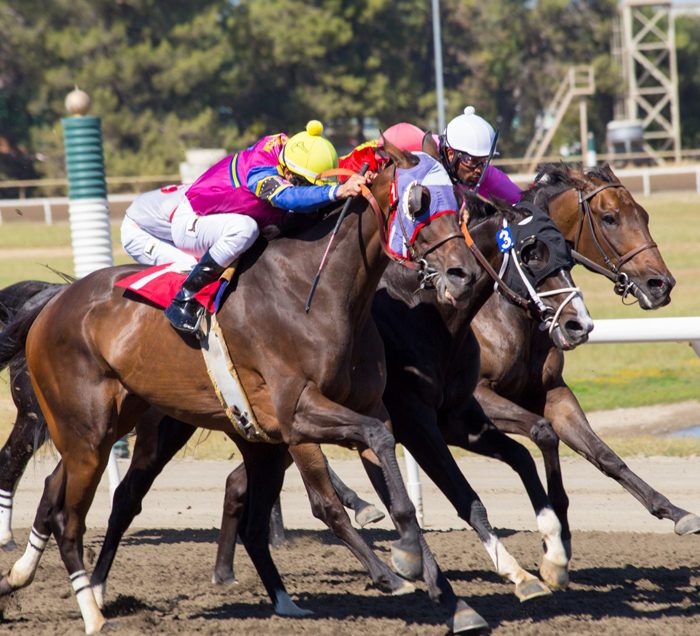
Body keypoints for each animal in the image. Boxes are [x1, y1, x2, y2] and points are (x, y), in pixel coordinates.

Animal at [0, 148, 486, 632]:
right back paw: (92, 612)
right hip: (89, 431)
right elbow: (332, 497)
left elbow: (391, 480)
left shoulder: (364, 409)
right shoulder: (298, 415)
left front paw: (449, 597)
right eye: (419, 202)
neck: (317, 294)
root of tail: (52, 303)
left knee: (56, 489)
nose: (463, 273)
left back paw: (26, 577)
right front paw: (394, 572)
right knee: (73, 518)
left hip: (111, 424)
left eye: (460, 201)